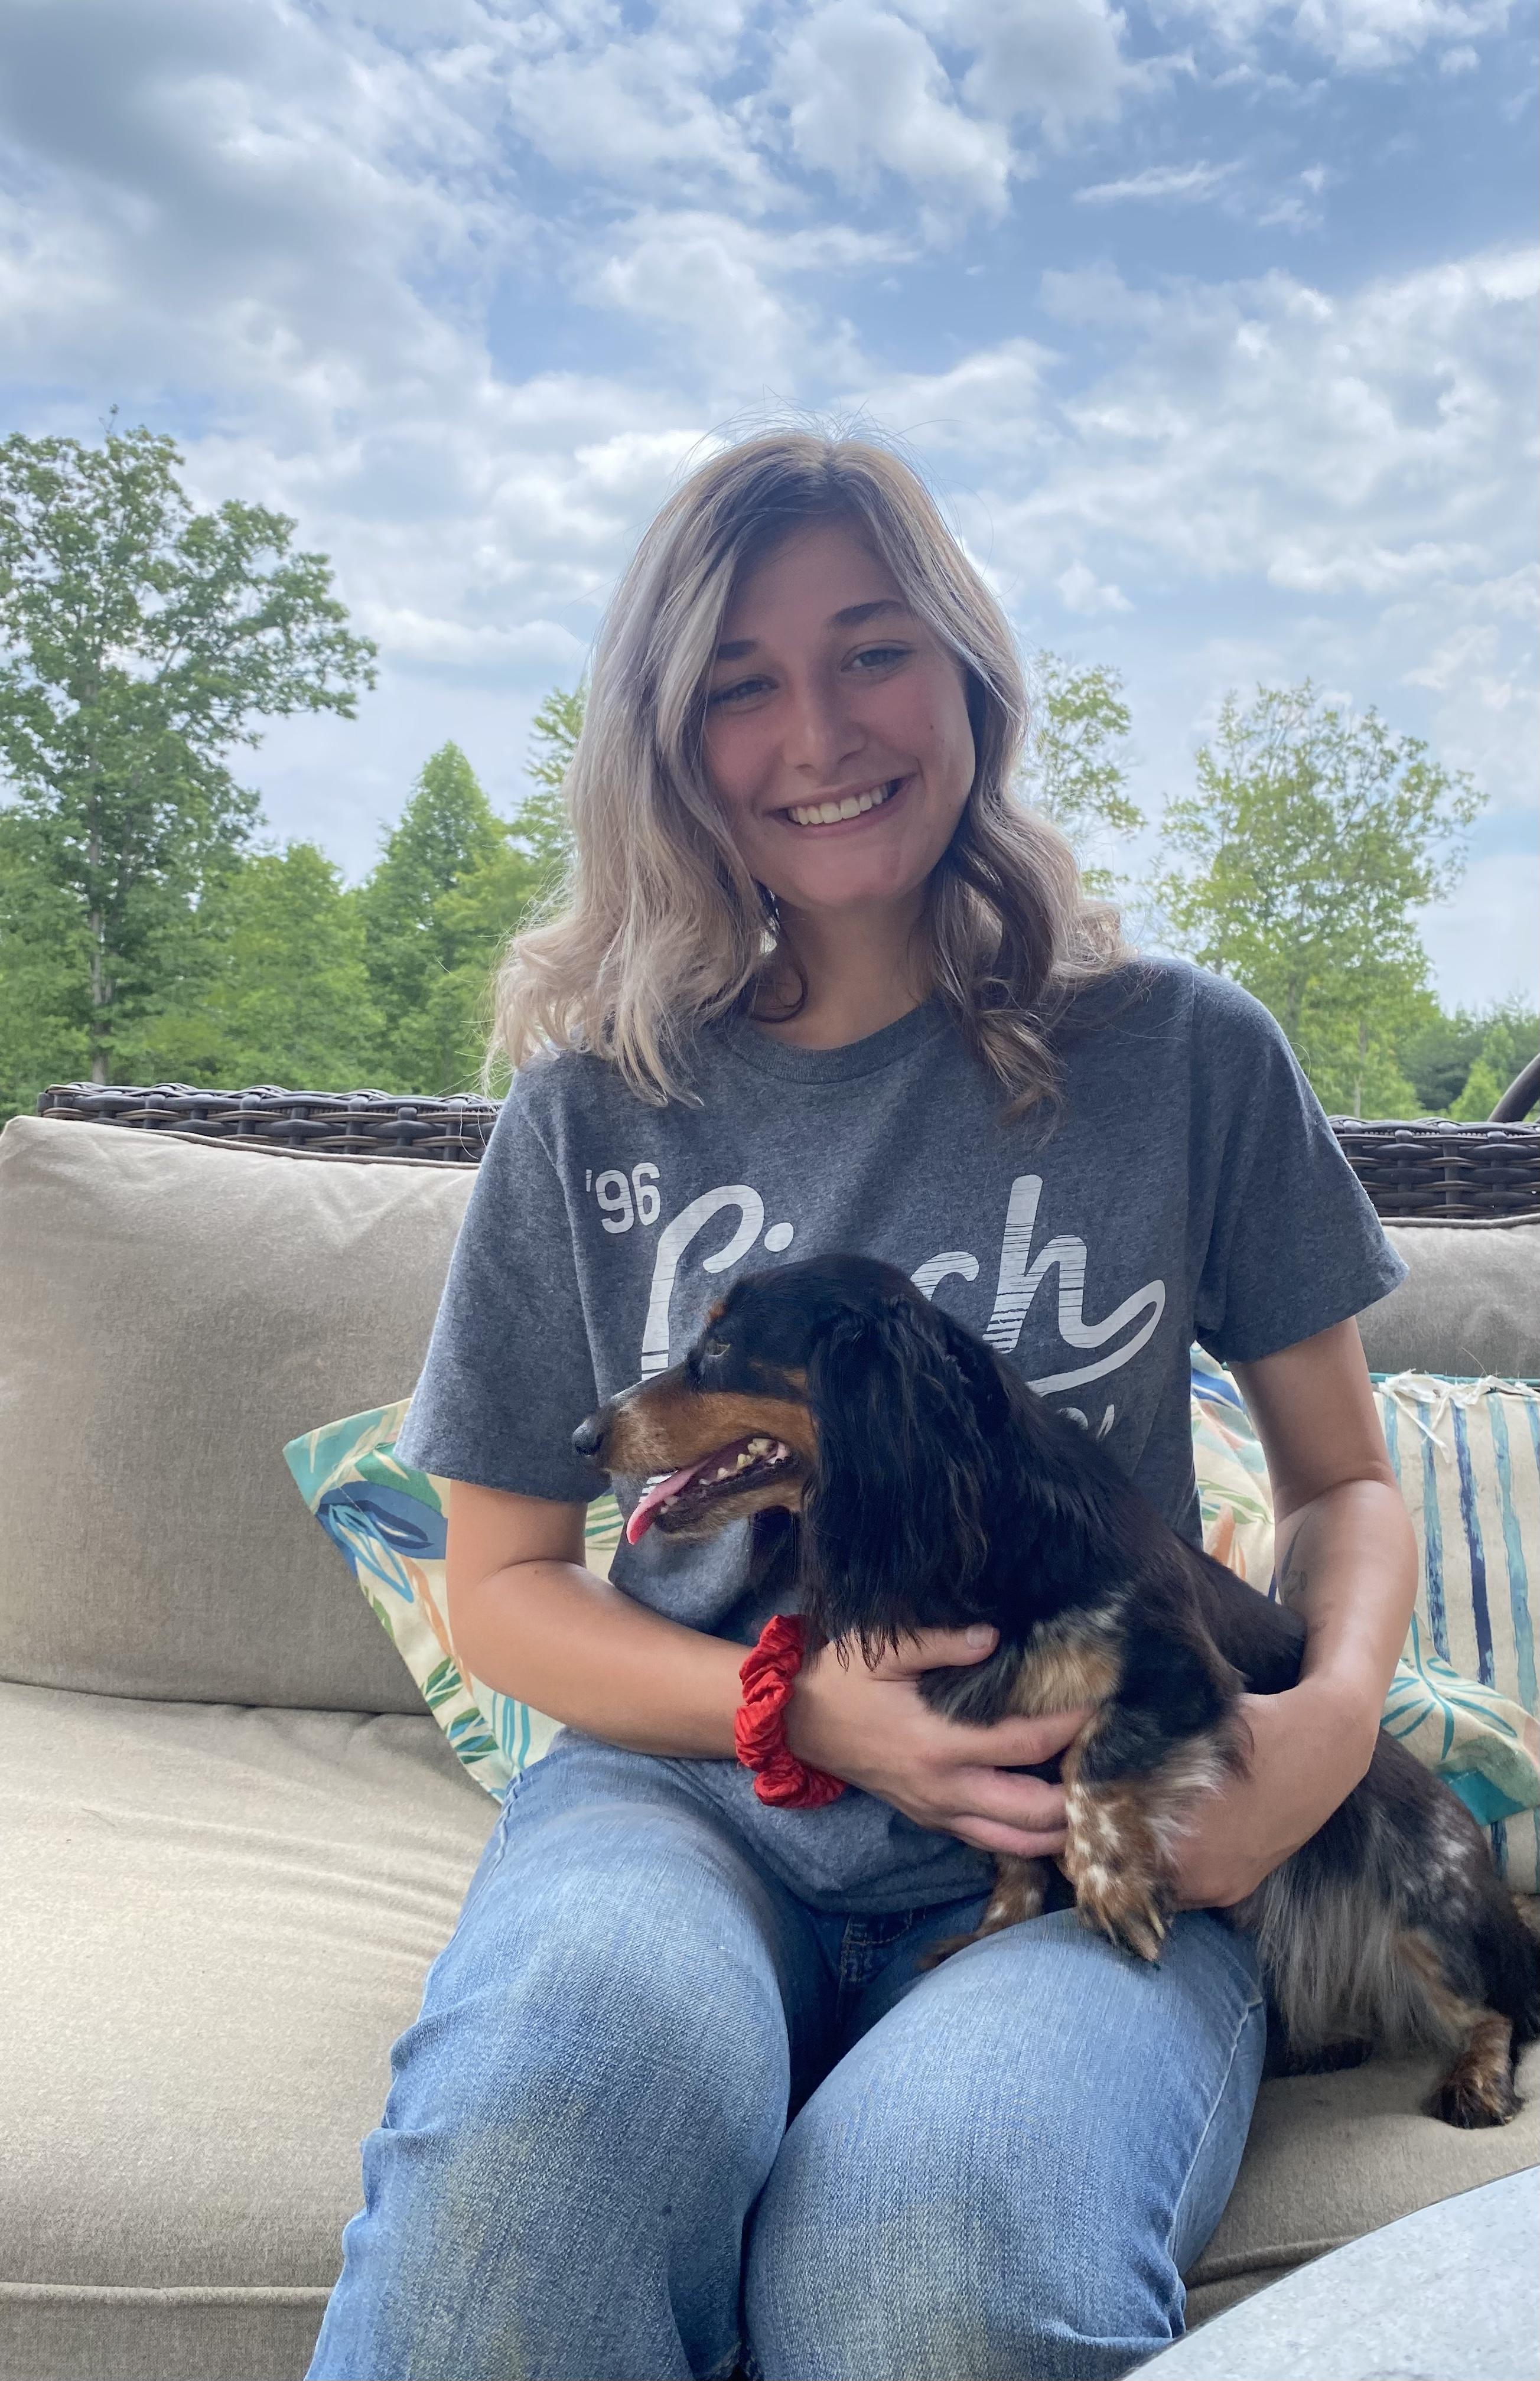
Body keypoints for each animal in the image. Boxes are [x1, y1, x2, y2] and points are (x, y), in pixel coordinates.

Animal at [574, 1253, 1540, 2128]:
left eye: (718, 1347)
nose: (583, 1435)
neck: (987, 1539)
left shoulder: (1178, 1672)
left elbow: (1093, 1765)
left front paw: (1111, 1888)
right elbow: (1011, 1856)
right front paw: (994, 1927)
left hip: (1428, 1910)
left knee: (1500, 2007)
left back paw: (1474, 2078)